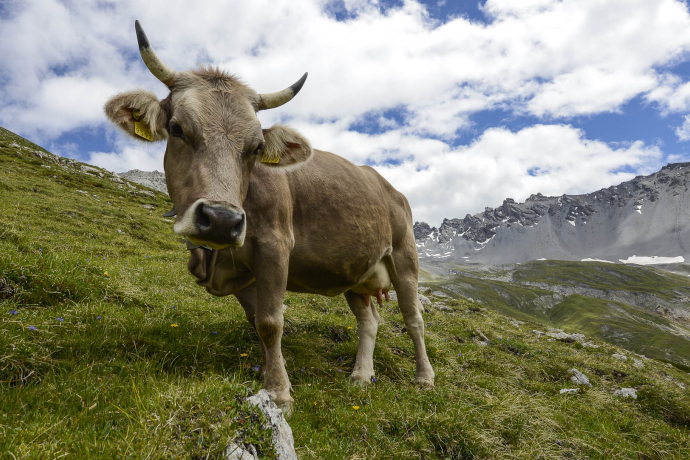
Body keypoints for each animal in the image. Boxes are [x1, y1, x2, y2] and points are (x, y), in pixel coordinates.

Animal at [104, 21, 434, 414]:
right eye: (176, 128)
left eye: (257, 147)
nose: (221, 219)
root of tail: (389, 187)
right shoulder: (243, 270)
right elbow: (255, 319)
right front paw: (268, 374)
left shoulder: (275, 245)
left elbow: (270, 321)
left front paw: (279, 392)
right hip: (355, 270)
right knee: (369, 320)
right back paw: (360, 375)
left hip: (405, 257)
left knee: (414, 319)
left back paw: (424, 378)